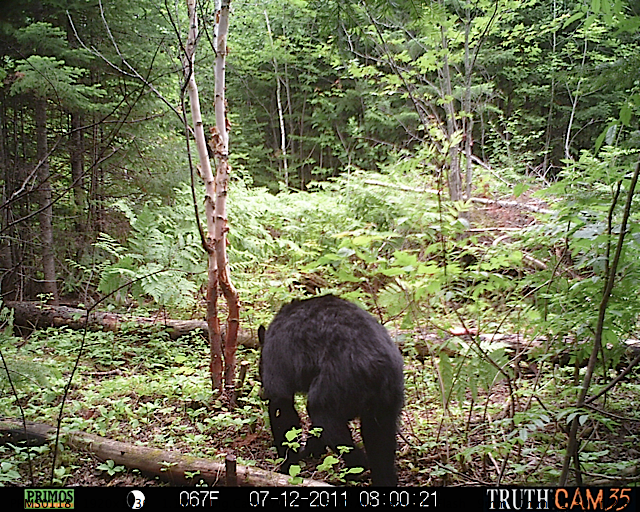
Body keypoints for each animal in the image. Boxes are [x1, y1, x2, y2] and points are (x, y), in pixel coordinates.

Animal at [258, 294, 402, 486]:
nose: (262, 393)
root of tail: (378, 365)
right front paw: (311, 450)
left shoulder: (278, 357)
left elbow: (282, 408)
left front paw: (287, 463)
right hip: (387, 399)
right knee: (380, 440)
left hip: (340, 381)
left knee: (324, 416)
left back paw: (351, 472)